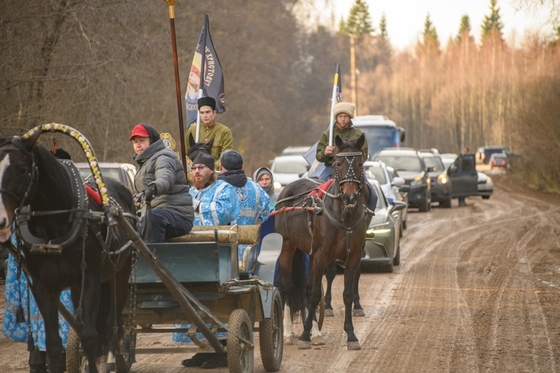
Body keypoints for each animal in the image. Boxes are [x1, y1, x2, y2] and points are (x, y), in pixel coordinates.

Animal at [0, 129, 135, 372]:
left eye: (23, 169)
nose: (2, 220)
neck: (54, 224)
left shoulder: (90, 279)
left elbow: (90, 337)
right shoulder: (43, 286)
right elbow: (54, 344)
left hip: (119, 273)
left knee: (113, 323)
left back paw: (113, 361)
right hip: (76, 286)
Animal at [276, 134, 372, 348]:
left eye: (360, 163)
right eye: (338, 163)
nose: (350, 196)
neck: (344, 217)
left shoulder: (353, 256)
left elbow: (346, 294)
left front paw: (351, 335)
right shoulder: (321, 256)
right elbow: (314, 295)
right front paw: (304, 336)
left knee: (308, 286)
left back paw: (315, 330)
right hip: (287, 243)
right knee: (288, 285)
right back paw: (287, 332)